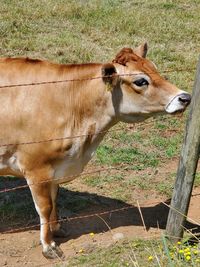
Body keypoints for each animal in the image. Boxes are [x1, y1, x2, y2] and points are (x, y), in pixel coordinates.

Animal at [0, 44, 191, 260]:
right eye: (140, 81)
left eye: (155, 68)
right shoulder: (36, 167)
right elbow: (45, 207)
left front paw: (57, 229)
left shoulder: (57, 168)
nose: (185, 97)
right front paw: (49, 246)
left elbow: (55, 200)